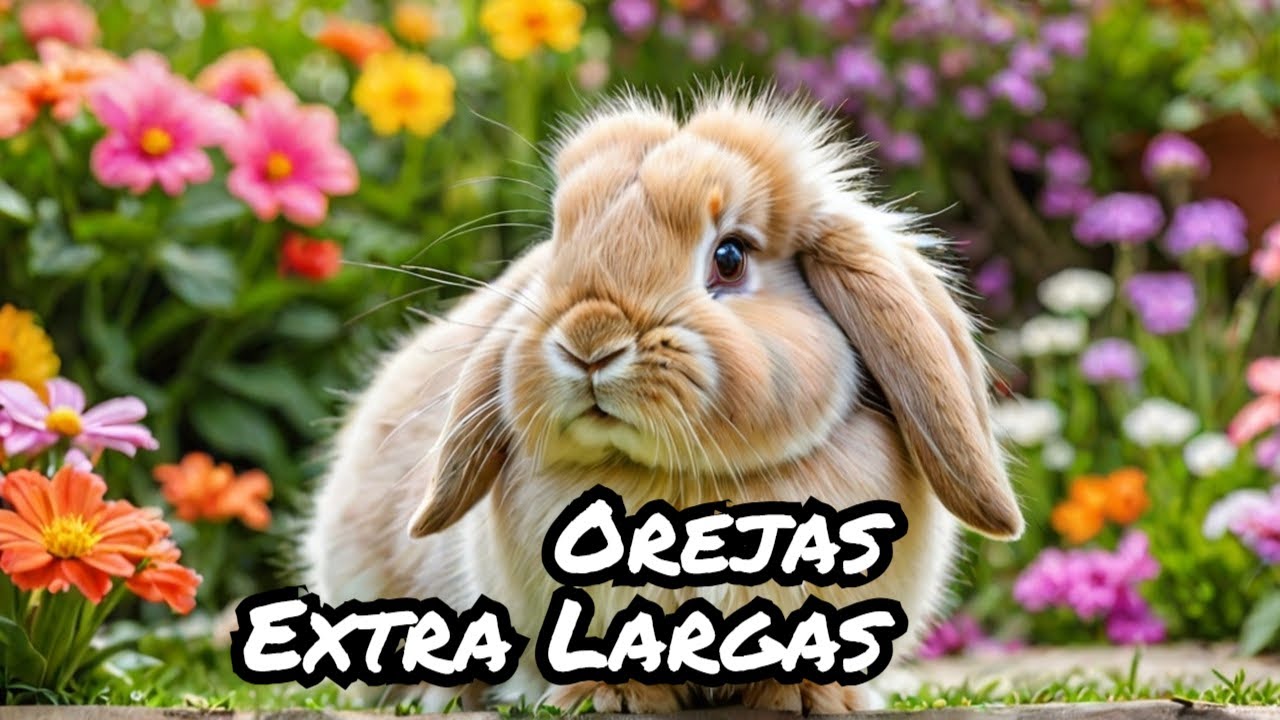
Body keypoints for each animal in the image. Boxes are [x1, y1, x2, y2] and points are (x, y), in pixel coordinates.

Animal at [303, 87, 1023, 714]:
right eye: (562, 241)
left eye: (730, 257)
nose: (589, 340)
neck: (686, 479)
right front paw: (610, 698)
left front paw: (805, 697)